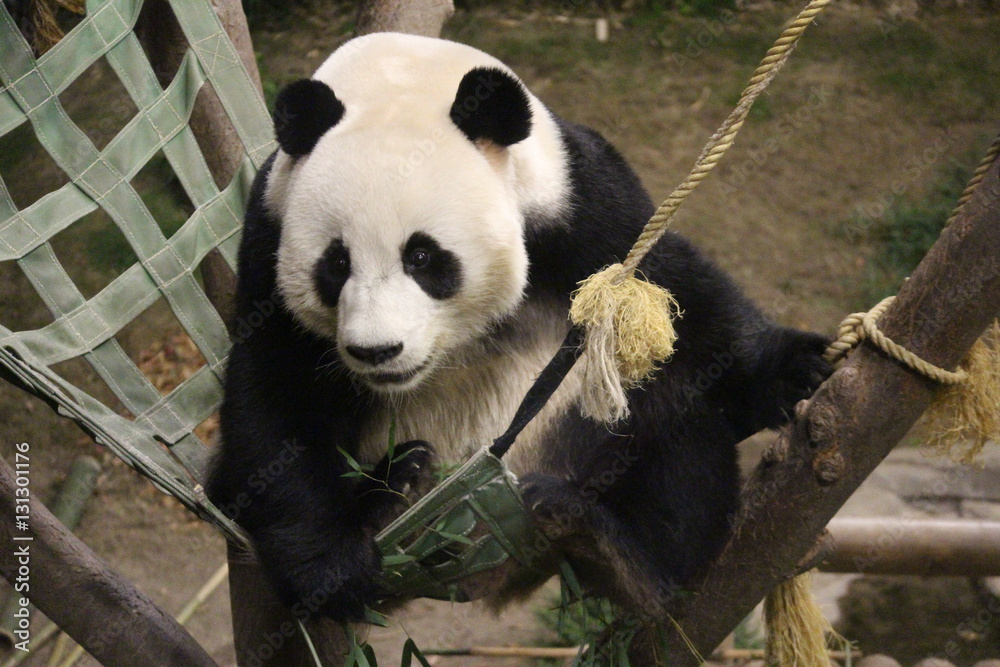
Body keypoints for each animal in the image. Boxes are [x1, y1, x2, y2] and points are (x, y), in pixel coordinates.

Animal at [206, 32, 832, 624]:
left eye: (423, 257)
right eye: (335, 263)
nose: (377, 351)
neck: (399, 76)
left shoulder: (581, 200)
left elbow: (682, 301)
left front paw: (798, 368)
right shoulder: (268, 232)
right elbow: (274, 394)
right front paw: (328, 569)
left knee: (673, 421)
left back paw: (617, 556)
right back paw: (396, 487)